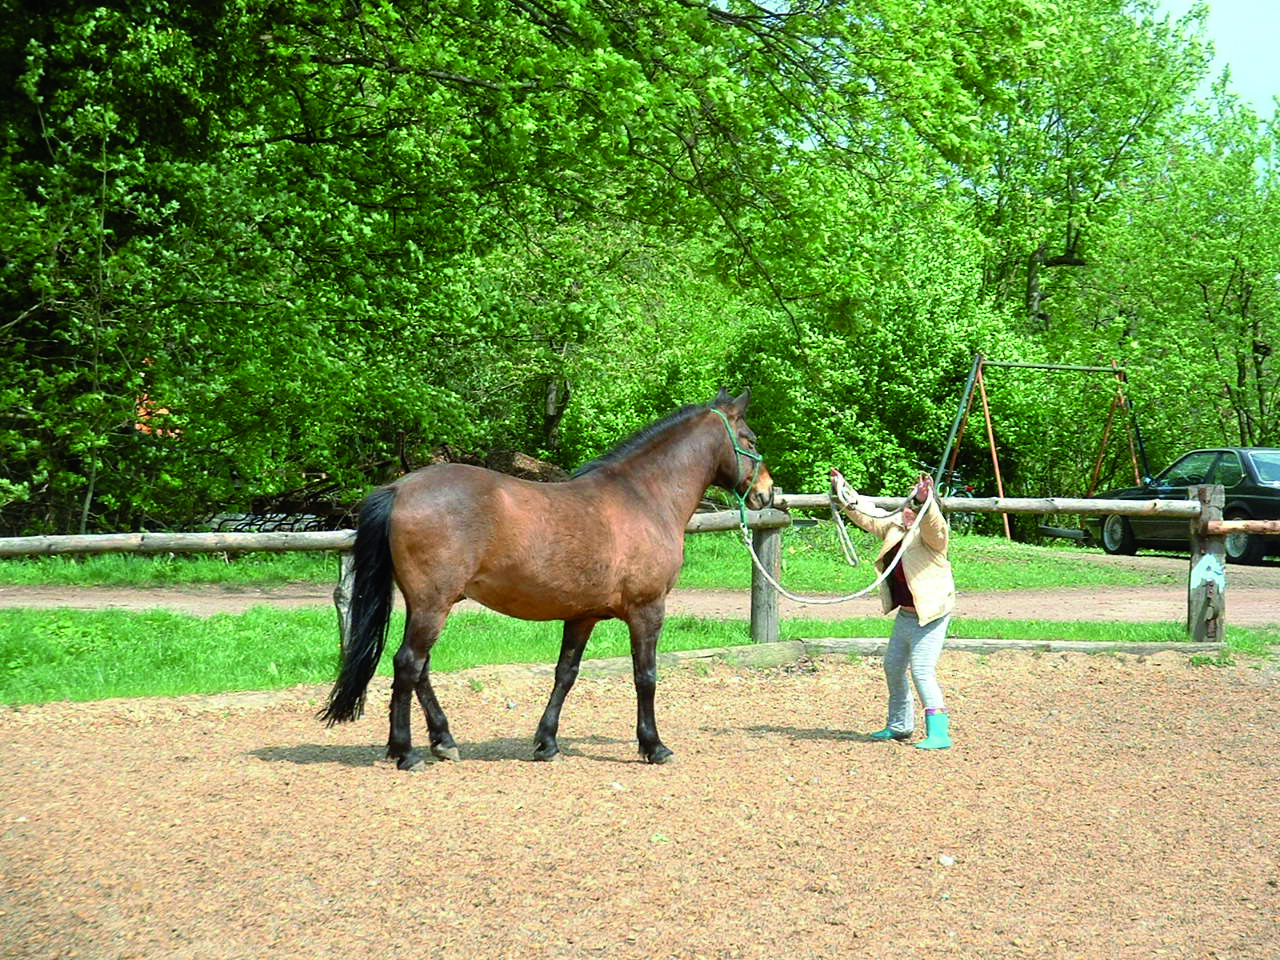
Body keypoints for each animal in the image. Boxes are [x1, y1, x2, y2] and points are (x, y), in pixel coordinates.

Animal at [325, 386, 773, 773]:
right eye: (750, 440)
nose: (767, 493)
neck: (643, 497)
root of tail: (398, 488)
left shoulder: (582, 615)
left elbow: (566, 674)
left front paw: (547, 742)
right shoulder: (647, 610)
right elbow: (645, 677)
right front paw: (654, 746)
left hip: (427, 604)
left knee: (421, 669)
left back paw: (443, 741)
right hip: (432, 604)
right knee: (408, 664)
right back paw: (406, 752)